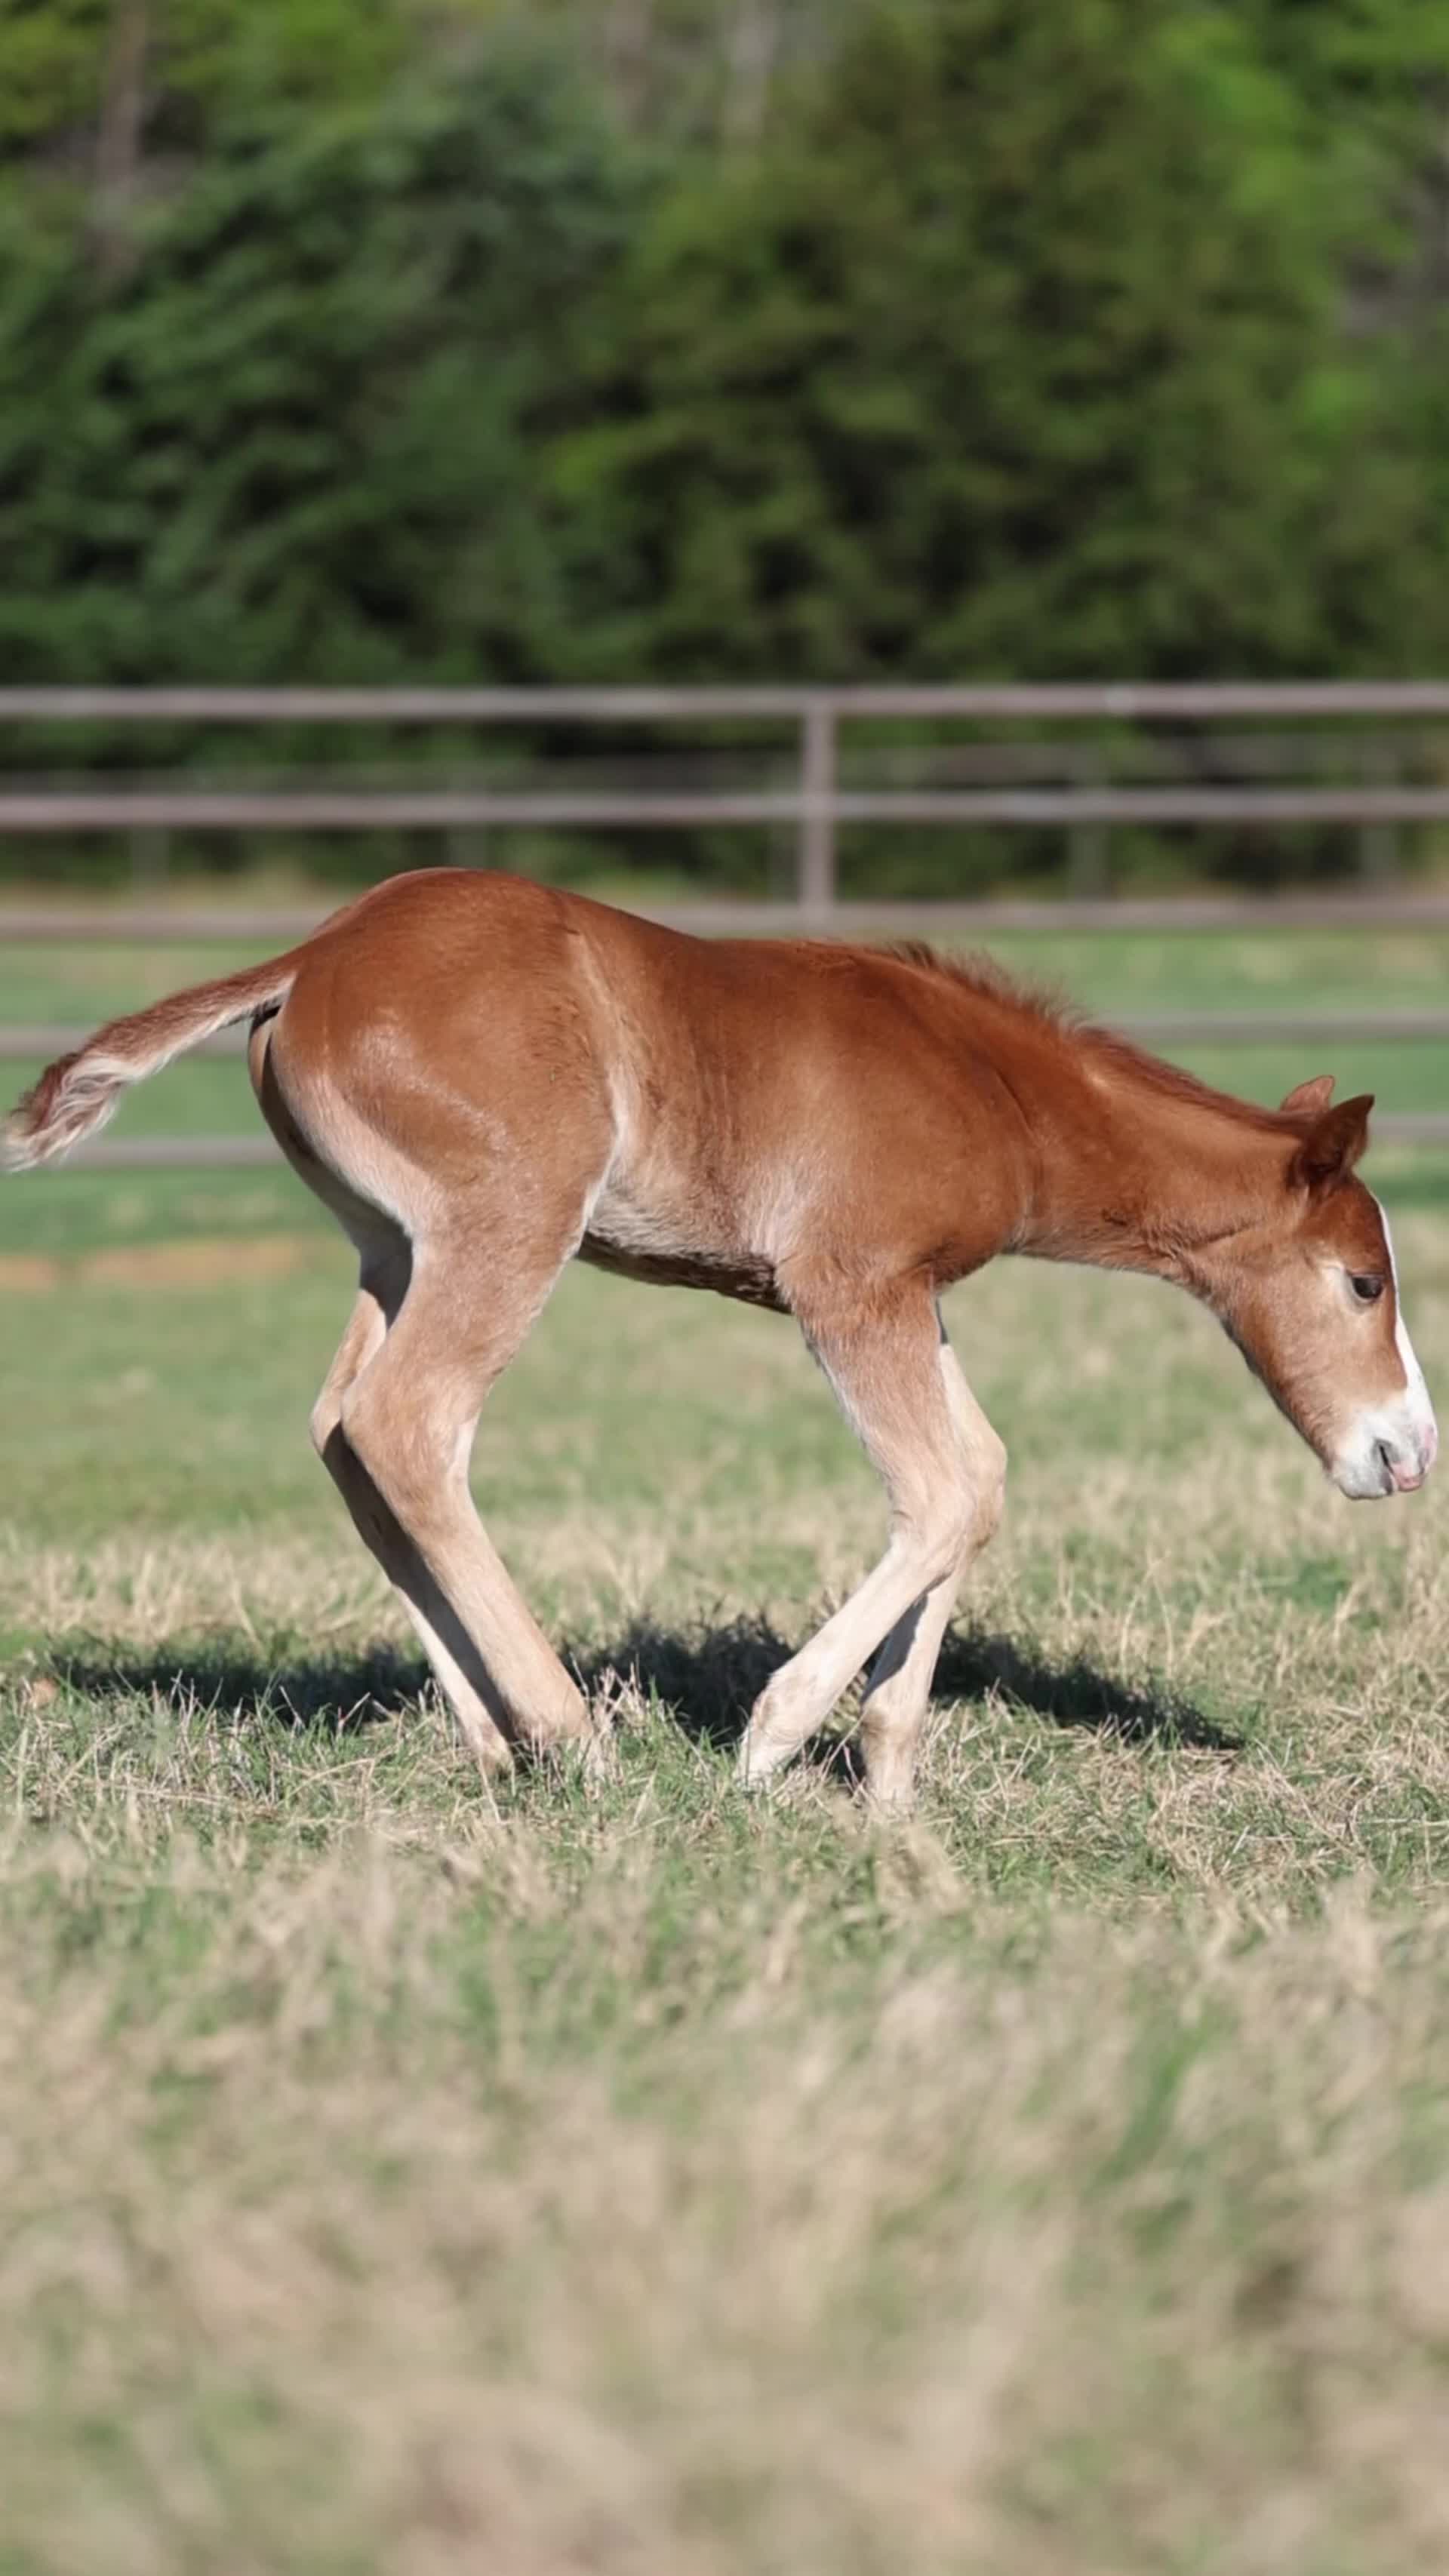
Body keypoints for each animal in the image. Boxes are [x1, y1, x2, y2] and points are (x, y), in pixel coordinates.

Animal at [5, 869, 1436, 1807]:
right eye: (1365, 1281)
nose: (1407, 1451)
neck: (994, 1085)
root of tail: (310, 957)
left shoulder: (915, 1291)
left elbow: (980, 1474)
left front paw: (889, 1769)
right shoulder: (847, 1283)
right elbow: (943, 1486)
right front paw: (776, 1739)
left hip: (390, 1245)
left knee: (343, 1434)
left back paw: (490, 1739)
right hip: (508, 1221)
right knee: (409, 1422)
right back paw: (571, 1737)